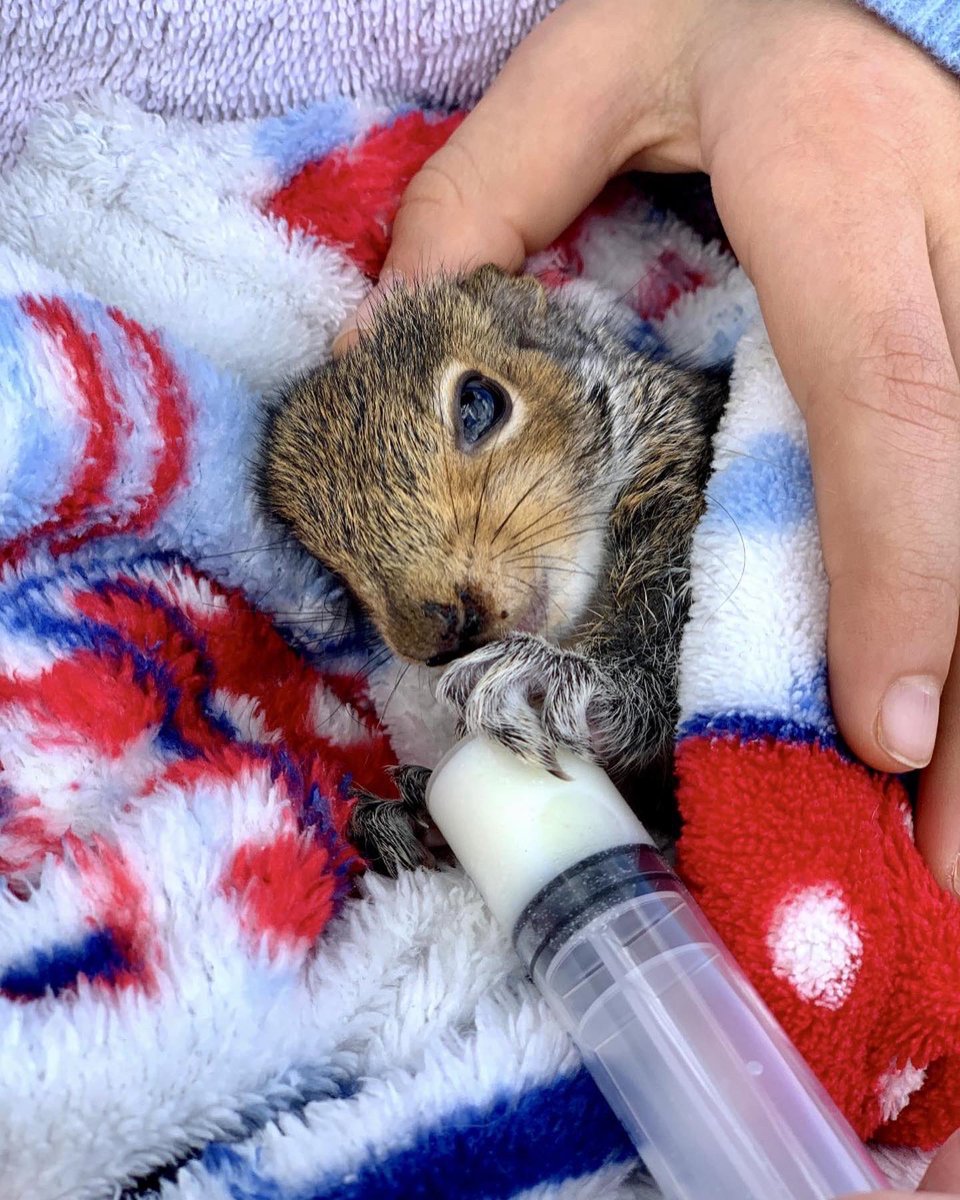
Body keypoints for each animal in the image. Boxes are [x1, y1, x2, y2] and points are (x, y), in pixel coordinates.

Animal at [259, 265, 727, 876]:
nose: (442, 634)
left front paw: (545, 677)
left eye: (479, 403)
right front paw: (411, 816)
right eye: (330, 568)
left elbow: (671, 665)